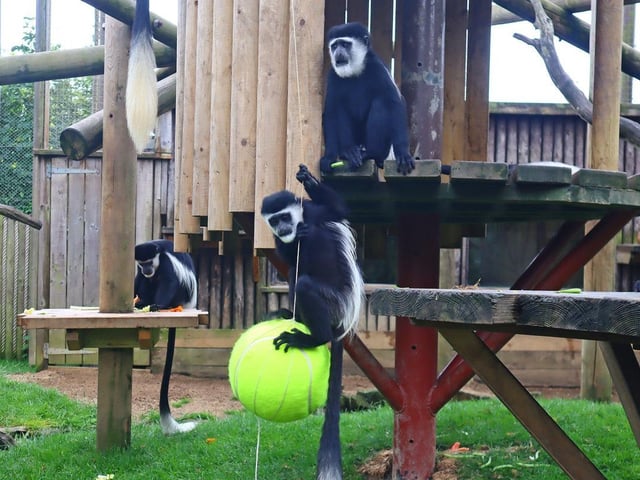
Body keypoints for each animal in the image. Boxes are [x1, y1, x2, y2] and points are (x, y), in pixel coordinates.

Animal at [134, 240, 198, 435]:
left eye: (149, 262)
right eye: (142, 263)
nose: (147, 269)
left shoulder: (166, 263)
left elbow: (169, 280)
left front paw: (157, 305)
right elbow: (138, 279)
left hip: (180, 296)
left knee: (165, 282)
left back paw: (156, 305)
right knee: (145, 281)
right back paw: (142, 302)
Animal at [261, 164, 365, 480]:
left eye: (284, 217)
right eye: (274, 221)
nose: (283, 229)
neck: (299, 223)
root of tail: (341, 320)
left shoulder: (317, 213)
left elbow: (338, 209)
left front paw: (307, 179)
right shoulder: (279, 241)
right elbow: (286, 256)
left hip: (332, 301)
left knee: (305, 283)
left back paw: (313, 337)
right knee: (296, 274)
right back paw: (290, 315)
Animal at [320, 22, 415, 176]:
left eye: (345, 44)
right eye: (334, 46)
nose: (337, 52)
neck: (355, 73)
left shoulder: (378, 69)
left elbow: (395, 103)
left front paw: (403, 154)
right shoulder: (333, 77)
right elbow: (331, 112)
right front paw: (329, 157)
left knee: (381, 103)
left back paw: (372, 153)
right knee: (340, 108)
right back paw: (349, 151)